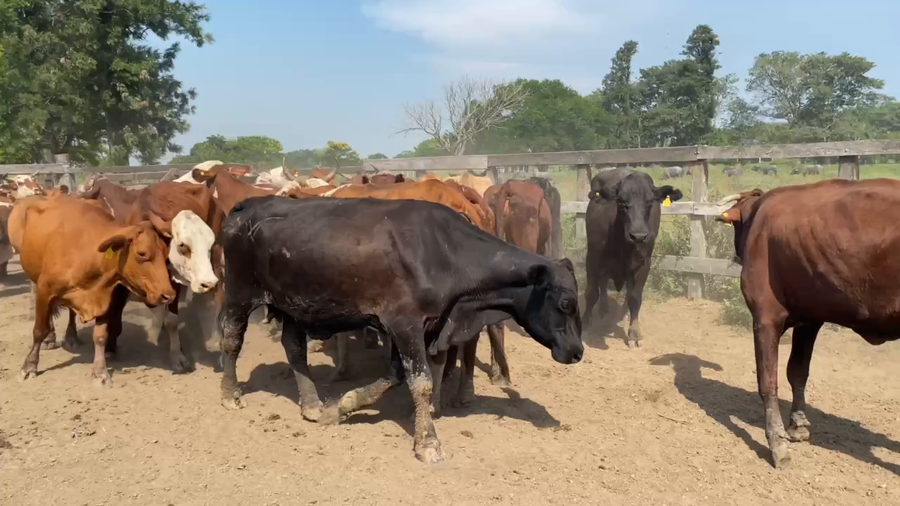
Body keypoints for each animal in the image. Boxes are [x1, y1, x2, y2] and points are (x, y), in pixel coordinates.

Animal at [18, 196, 175, 385]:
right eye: (142, 254)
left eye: (166, 253)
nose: (168, 295)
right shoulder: (45, 291)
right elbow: (39, 330)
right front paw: (30, 366)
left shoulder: (106, 298)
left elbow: (100, 336)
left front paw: (100, 371)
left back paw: (72, 337)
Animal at [216, 196, 583, 463]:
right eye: (566, 303)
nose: (578, 352)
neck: (445, 252)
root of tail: (249, 204)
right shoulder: (405, 325)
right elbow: (420, 382)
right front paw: (428, 443)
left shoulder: (421, 328)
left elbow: (395, 376)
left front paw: (345, 404)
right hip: (239, 293)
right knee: (231, 339)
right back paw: (230, 394)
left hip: (292, 306)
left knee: (294, 348)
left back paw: (312, 405)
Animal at [581, 168, 683, 348]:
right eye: (622, 202)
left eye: (649, 203)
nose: (638, 235)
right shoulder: (593, 256)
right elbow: (591, 292)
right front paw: (585, 323)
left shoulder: (644, 263)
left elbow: (635, 297)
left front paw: (634, 333)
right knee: (602, 283)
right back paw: (603, 309)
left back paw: (624, 314)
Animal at [715, 179, 900, 468]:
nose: (736, 256)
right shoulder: (809, 318)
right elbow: (797, 371)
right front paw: (798, 424)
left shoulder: (765, 316)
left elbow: (767, 381)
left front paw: (777, 443)